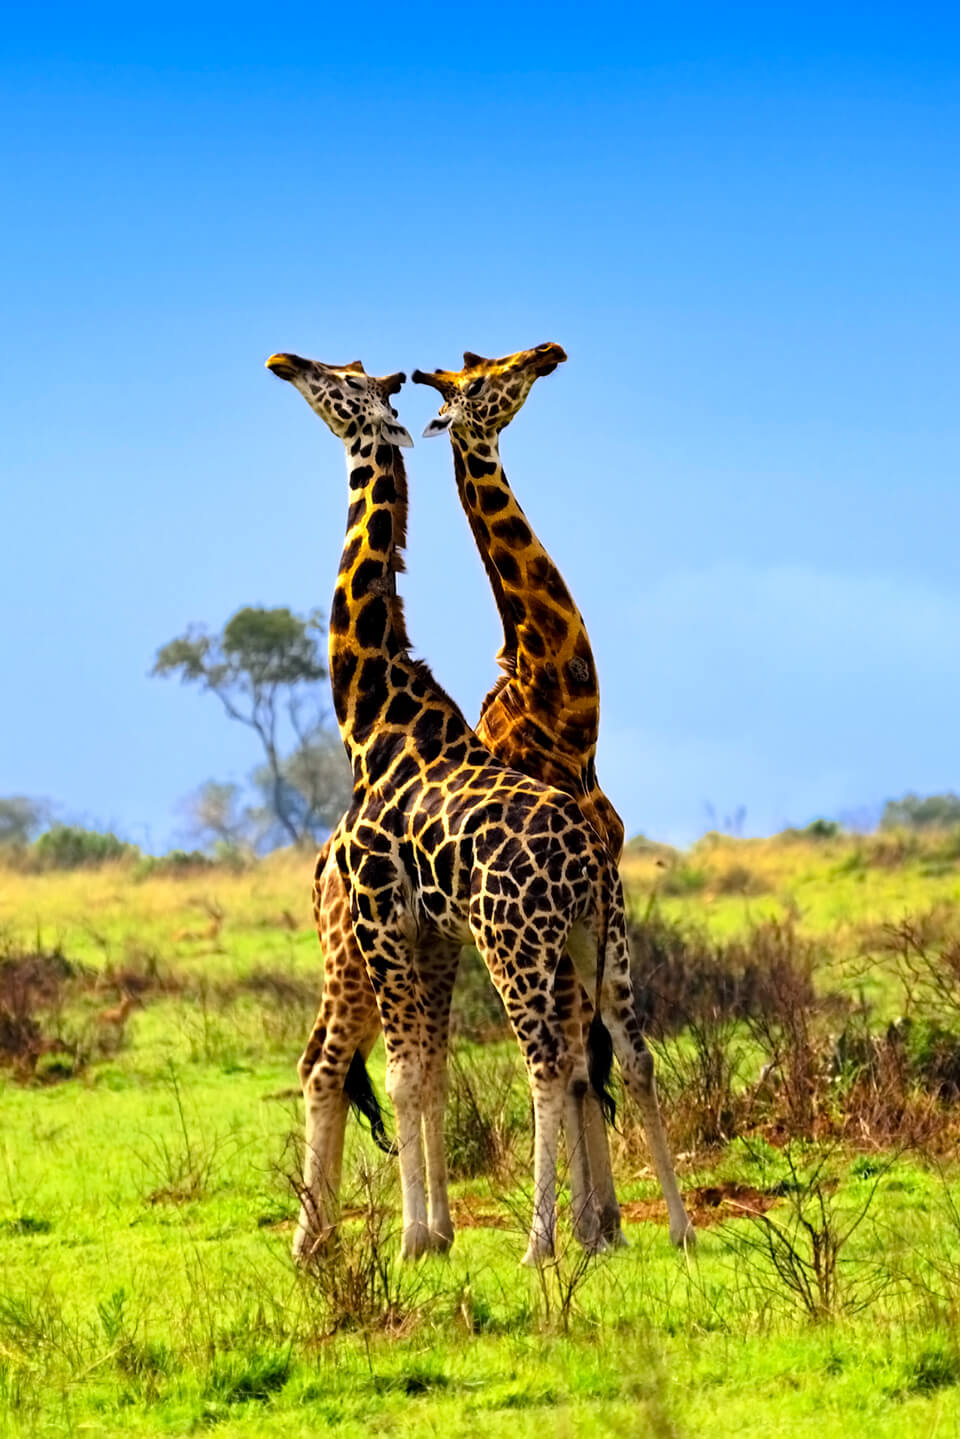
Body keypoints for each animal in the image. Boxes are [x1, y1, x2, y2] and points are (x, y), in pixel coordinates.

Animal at [266, 351, 693, 1265]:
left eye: (340, 384)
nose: (285, 362)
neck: (375, 718)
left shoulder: (391, 918)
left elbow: (414, 1073)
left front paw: (420, 1238)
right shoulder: (424, 931)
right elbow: (427, 1069)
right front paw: (440, 1232)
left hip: (506, 941)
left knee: (539, 1060)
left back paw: (528, 1243)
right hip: (595, 933)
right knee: (627, 1046)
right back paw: (673, 1227)